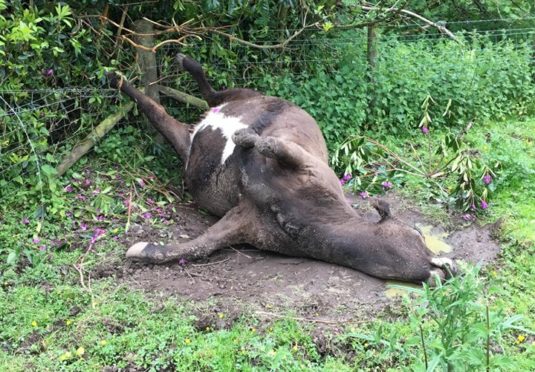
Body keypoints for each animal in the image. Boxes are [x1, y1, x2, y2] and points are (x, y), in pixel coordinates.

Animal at [108, 53, 456, 284]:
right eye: (418, 235)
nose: (448, 267)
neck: (304, 215)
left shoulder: (240, 222)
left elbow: (195, 248)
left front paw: (141, 250)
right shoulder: (305, 162)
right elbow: (273, 145)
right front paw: (247, 138)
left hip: (186, 144)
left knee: (160, 110)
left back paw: (126, 81)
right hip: (241, 95)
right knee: (209, 91)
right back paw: (167, 67)